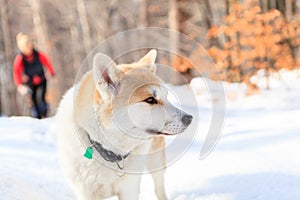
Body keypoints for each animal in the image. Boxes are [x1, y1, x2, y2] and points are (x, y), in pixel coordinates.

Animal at [56, 49, 192, 199]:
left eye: (166, 96)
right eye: (150, 99)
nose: (189, 118)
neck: (109, 153)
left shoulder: (129, 189)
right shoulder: (85, 193)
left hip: (156, 162)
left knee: (159, 187)